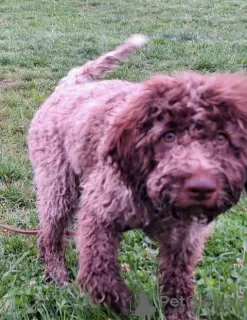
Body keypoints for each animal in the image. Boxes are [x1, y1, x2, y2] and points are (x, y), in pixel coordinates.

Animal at [28, 34, 247, 318]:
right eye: (168, 135)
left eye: (221, 138)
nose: (201, 187)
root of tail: (69, 86)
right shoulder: (99, 214)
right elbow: (99, 273)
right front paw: (125, 304)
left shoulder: (183, 240)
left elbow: (178, 285)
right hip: (58, 184)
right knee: (50, 235)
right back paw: (56, 274)